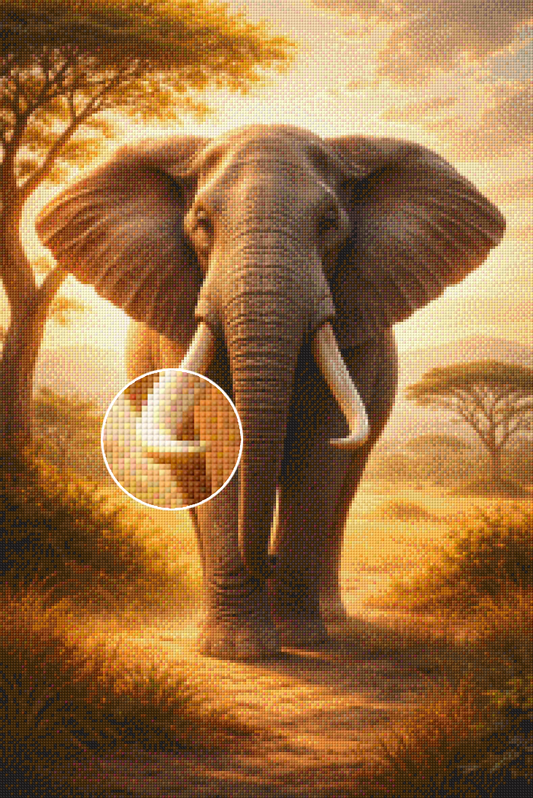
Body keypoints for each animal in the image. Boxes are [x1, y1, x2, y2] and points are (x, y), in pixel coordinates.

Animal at [36, 124, 505, 661]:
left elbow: (320, 448)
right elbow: (222, 435)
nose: (273, 559)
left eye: (328, 223)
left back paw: (330, 617)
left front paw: (302, 639)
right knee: (193, 485)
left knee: (345, 483)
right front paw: (238, 650)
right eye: (202, 223)